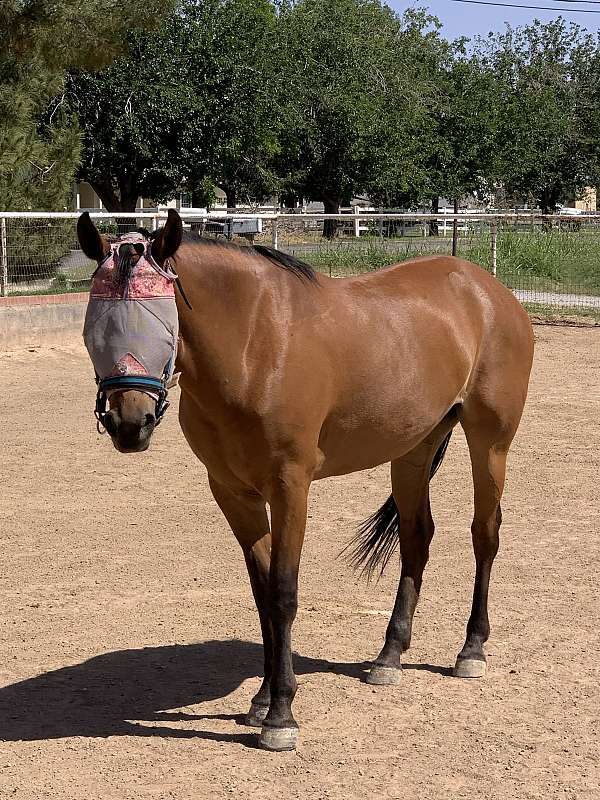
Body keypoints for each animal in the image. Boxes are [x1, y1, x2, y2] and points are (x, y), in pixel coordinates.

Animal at [77, 209, 534, 752]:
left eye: (159, 319)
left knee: (485, 535)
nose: (129, 423)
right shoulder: (233, 493)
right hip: (413, 449)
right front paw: (261, 699)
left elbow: (283, 592)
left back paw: (471, 649)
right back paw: (389, 656)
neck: (255, 346)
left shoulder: (290, 487)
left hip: (491, 443)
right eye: (95, 323)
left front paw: (280, 714)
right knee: (417, 538)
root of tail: (486, 289)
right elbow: (261, 594)